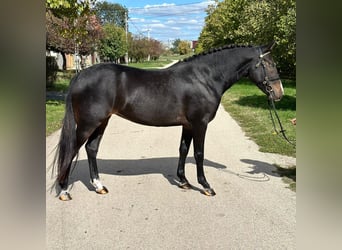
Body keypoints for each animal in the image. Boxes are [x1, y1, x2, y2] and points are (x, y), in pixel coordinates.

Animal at [54, 42, 284, 200]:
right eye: (269, 64)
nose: (279, 93)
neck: (205, 78)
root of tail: (80, 75)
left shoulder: (188, 125)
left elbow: (183, 149)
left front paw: (183, 181)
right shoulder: (200, 124)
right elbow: (199, 154)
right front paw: (206, 186)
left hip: (102, 122)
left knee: (91, 149)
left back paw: (99, 186)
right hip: (88, 124)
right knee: (72, 150)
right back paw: (64, 190)